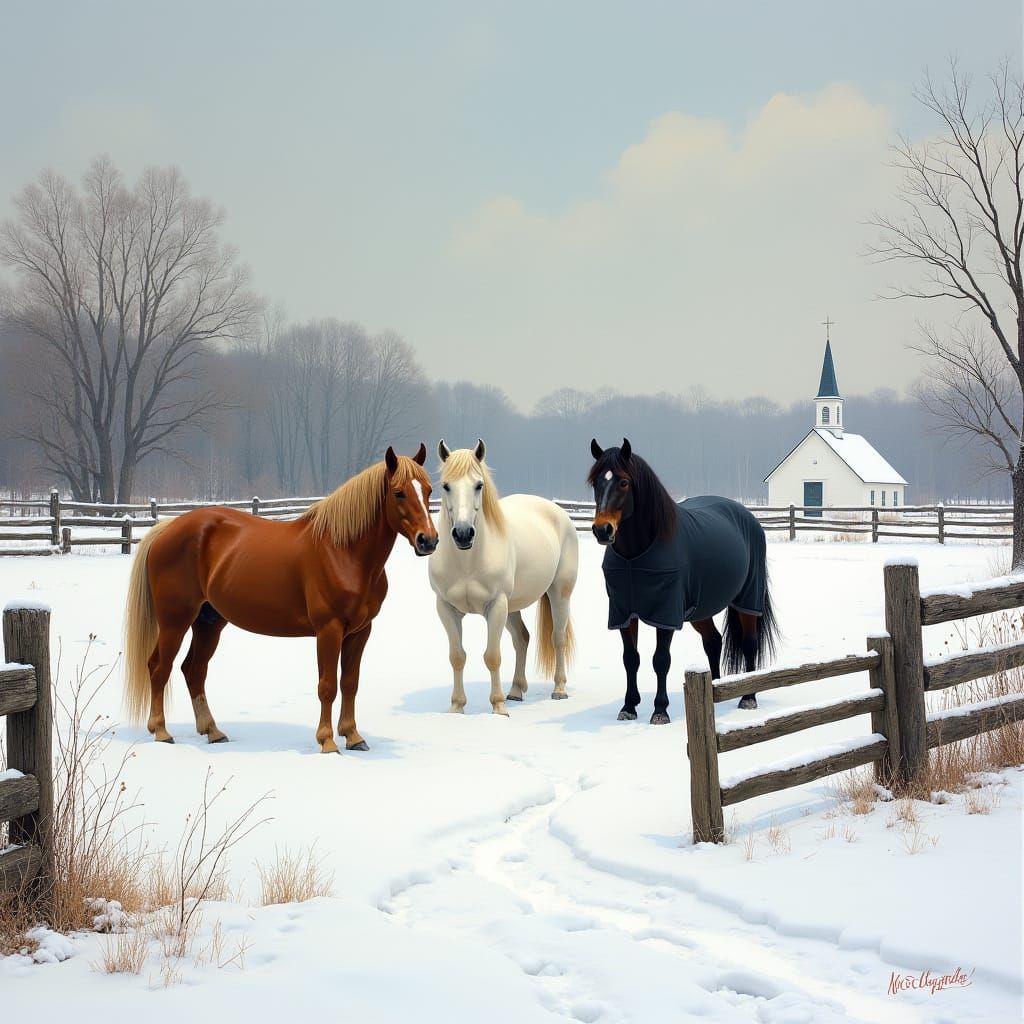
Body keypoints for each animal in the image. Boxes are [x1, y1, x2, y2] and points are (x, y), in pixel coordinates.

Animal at [122, 445, 438, 754]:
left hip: (209, 622)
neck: (344, 552)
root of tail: (167, 529)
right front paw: (327, 741)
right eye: (398, 492)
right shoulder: (329, 630)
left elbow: (350, 683)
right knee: (159, 668)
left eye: (428, 489)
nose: (429, 540)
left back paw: (212, 731)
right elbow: (327, 686)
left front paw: (353, 736)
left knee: (194, 670)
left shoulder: (360, 632)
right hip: (175, 621)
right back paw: (161, 732)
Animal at [428, 439, 579, 715]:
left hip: (559, 593)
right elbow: (457, 656)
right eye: (446, 485)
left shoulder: (496, 606)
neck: (467, 563)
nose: (463, 534)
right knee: (522, 638)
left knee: (558, 638)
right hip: (512, 607)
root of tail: (557, 512)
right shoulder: (446, 608)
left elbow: (492, 656)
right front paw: (457, 707)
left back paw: (559, 689)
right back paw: (516, 691)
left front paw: (498, 707)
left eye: (479, 485)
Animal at [587, 438, 778, 723]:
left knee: (749, 644)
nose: (602, 530)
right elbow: (630, 658)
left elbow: (660, 660)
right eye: (595, 482)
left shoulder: (666, 613)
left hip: (747, 599)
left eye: (623, 482)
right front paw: (629, 707)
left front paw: (660, 711)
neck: (636, 554)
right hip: (700, 610)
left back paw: (748, 697)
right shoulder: (624, 613)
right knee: (713, 642)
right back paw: (715, 690)